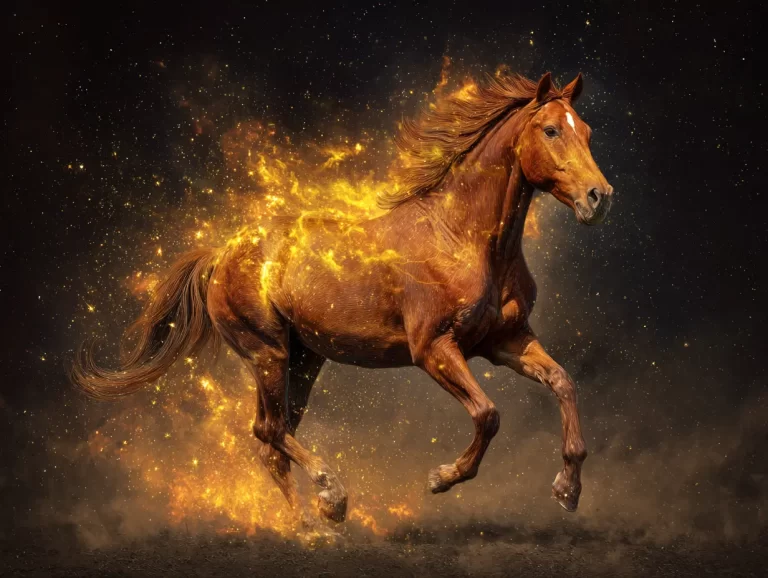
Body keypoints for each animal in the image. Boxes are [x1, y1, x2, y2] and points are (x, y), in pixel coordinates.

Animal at [72, 71, 614, 526]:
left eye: (586, 131)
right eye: (551, 130)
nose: (599, 197)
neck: (462, 237)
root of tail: (223, 252)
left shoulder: (506, 342)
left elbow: (564, 383)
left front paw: (567, 489)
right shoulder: (434, 348)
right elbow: (488, 414)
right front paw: (441, 478)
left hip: (303, 360)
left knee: (270, 441)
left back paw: (307, 529)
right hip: (268, 352)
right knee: (270, 432)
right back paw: (331, 500)